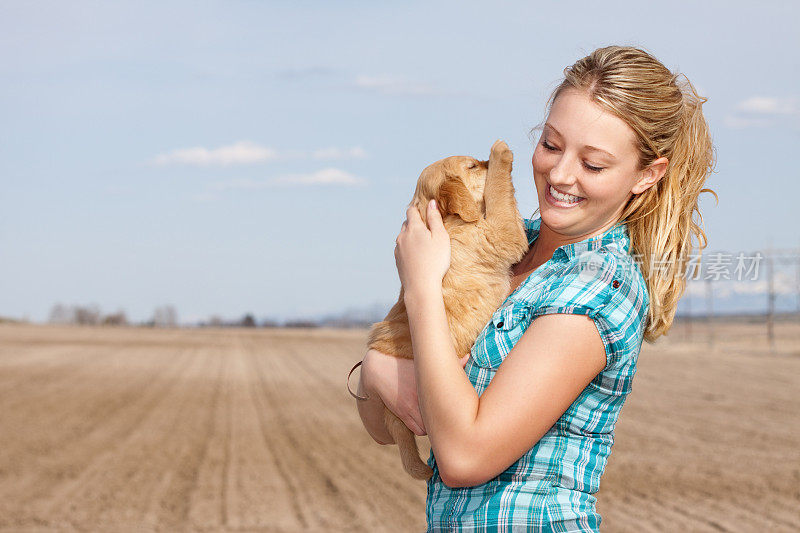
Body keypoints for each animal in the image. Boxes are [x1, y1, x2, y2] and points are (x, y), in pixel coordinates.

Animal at [368, 139, 532, 480]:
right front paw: (500, 155)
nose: (486, 159)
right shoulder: (499, 233)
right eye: (472, 166)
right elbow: (499, 194)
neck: (447, 221)